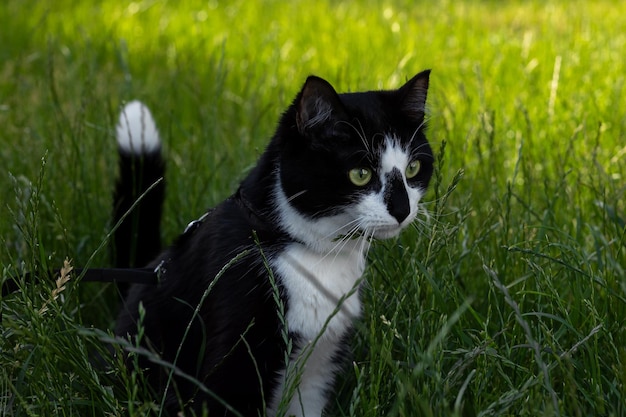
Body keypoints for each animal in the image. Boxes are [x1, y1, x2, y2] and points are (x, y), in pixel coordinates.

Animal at [112, 70, 432, 414]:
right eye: (360, 174)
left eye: (413, 168)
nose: (402, 210)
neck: (313, 253)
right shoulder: (234, 360)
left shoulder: (318, 367)